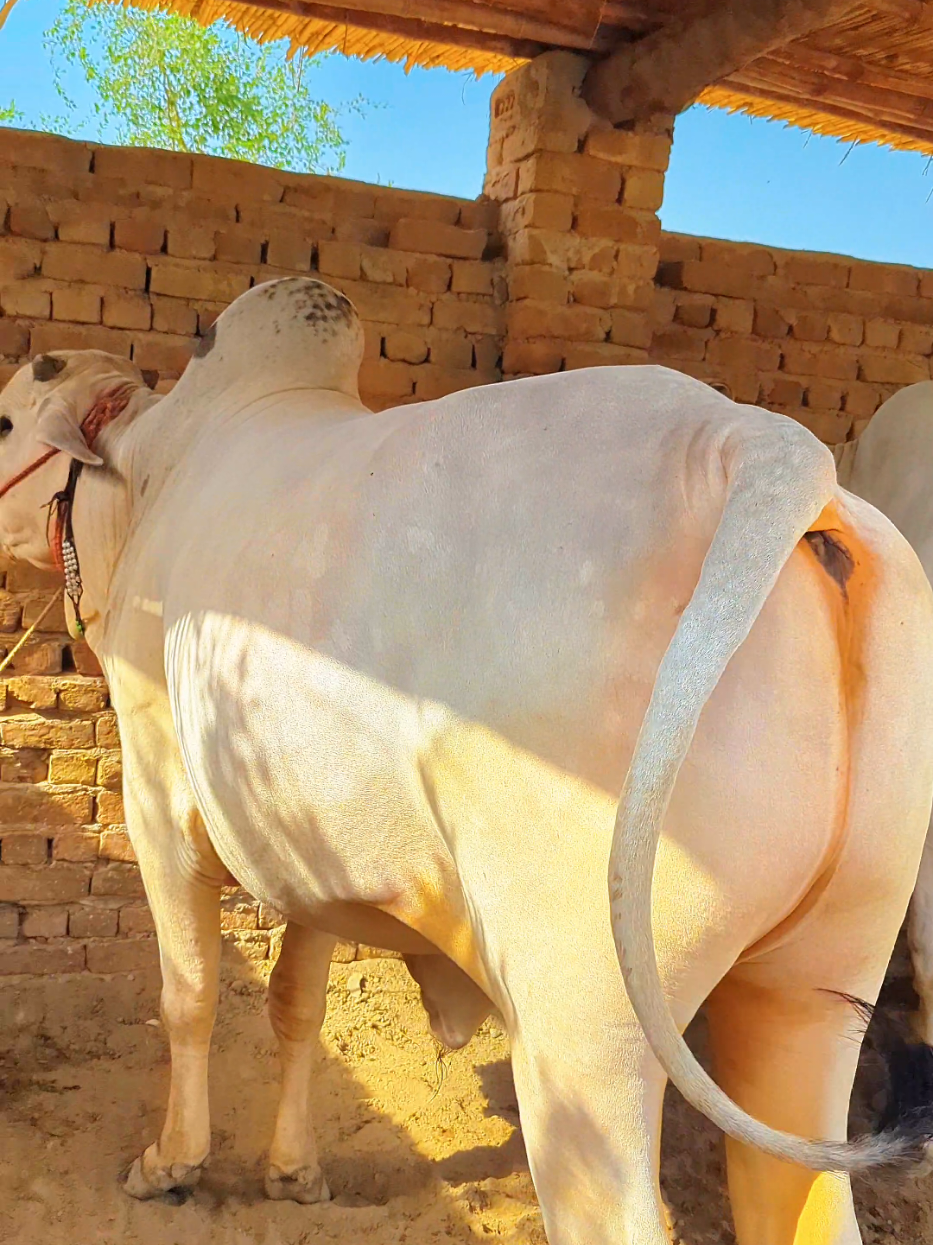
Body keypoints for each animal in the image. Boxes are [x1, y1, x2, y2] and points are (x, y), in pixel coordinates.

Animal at [1, 276, 933, 1245]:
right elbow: (298, 1007)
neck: (155, 471)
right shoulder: (308, 851)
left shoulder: (158, 802)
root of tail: (748, 443)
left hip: (583, 1033)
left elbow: (188, 995)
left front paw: (171, 1162)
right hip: (818, 990)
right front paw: (293, 1170)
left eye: (3, 421)